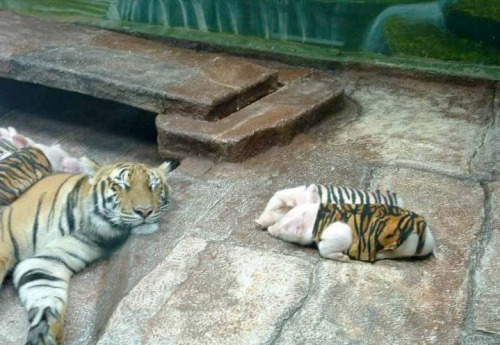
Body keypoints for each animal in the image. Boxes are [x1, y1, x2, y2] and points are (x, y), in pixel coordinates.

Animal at [0, 157, 176, 344]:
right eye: (122, 185)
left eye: (153, 185)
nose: (145, 211)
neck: (85, 221)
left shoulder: (47, 261)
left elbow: (45, 292)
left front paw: (45, 333)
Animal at [266, 202, 434, 260]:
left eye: (283, 228)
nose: (269, 228)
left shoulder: (341, 232)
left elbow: (324, 247)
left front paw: (344, 258)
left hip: (403, 247)